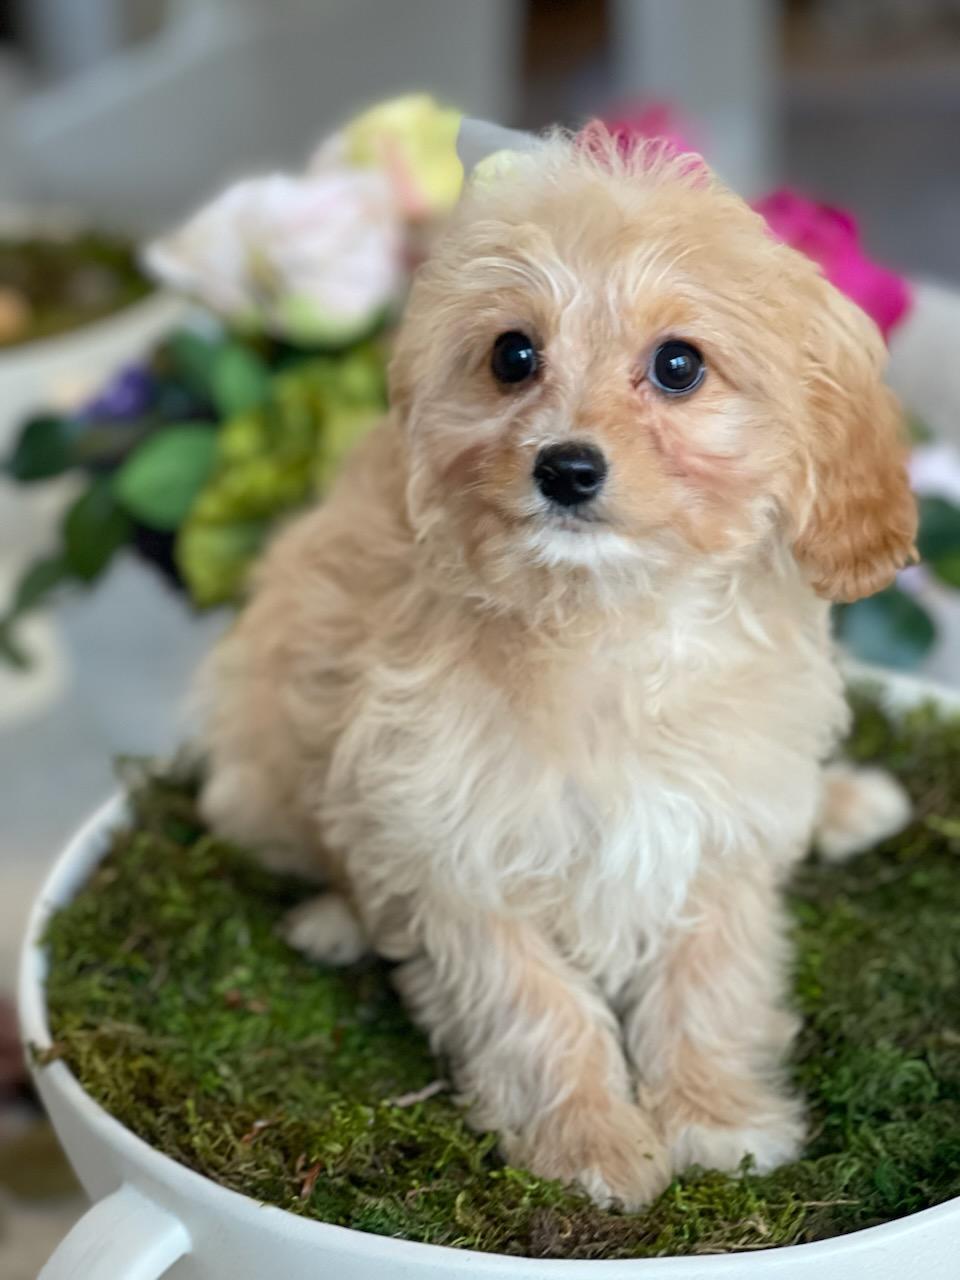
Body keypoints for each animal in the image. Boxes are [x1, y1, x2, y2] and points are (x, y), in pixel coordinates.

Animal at [197, 127, 917, 1208]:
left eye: (677, 365)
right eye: (513, 354)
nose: (565, 467)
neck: (606, 623)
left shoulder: (718, 829)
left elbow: (714, 982)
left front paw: (719, 1121)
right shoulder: (453, 847)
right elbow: (536, 1012)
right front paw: (591, 1148)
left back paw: (847, 803)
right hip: (262, 738)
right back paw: (336, 916)